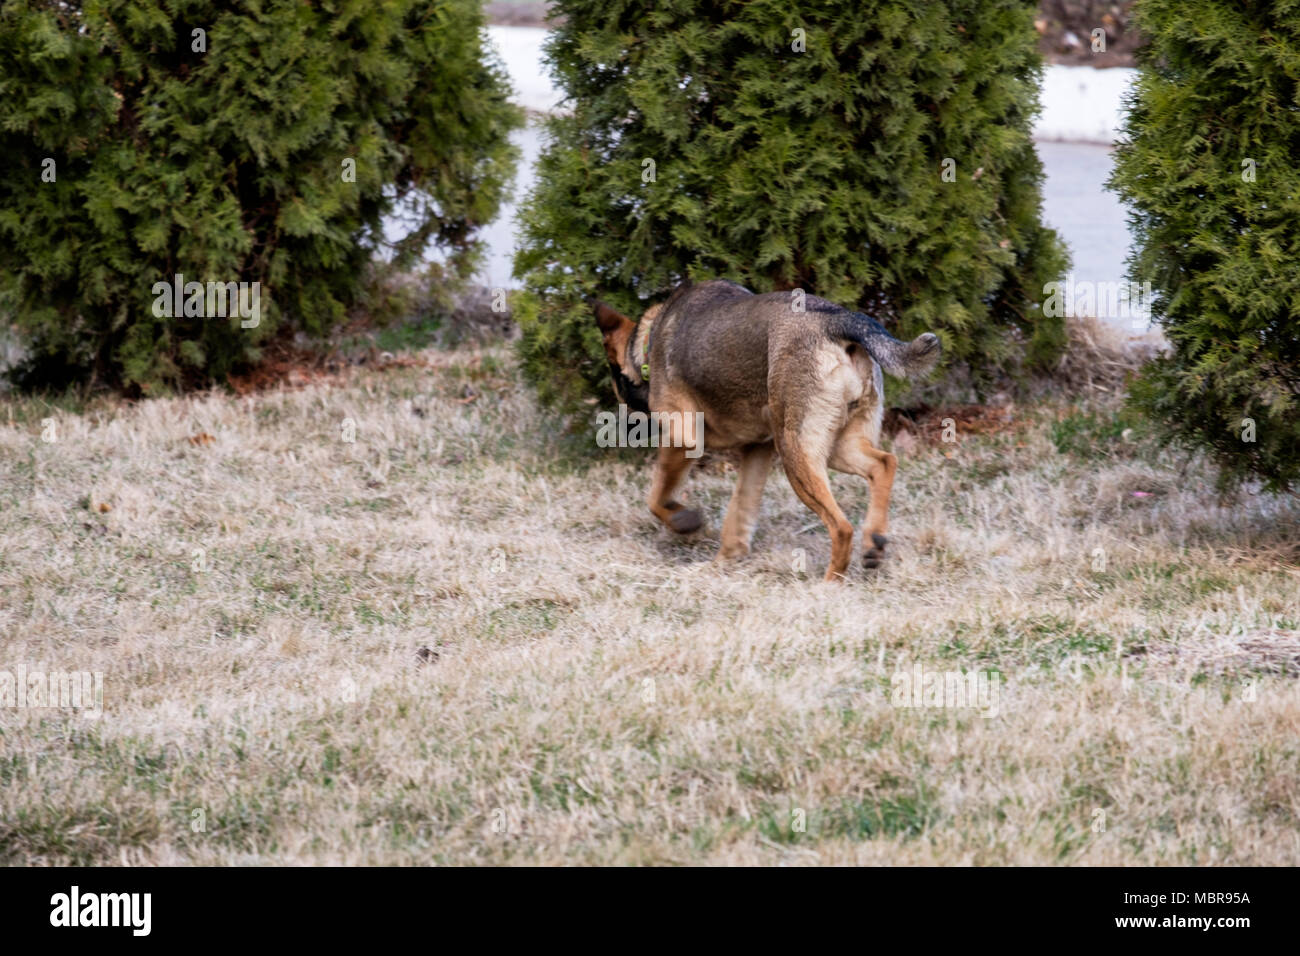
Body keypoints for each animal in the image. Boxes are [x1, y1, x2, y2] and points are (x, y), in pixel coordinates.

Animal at [595, 280, 941, 582]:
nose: (617, 428)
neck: (648, 343)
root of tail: (836, 320)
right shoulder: (757, 449)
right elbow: (739, 510)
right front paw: (723, 562)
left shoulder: (683, 440)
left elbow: (656, 498)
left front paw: (685, 522)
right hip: (836, 446)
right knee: (884, 464)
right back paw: (874, 541)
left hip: (797, 452)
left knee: (842, 527)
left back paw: (830, 584)